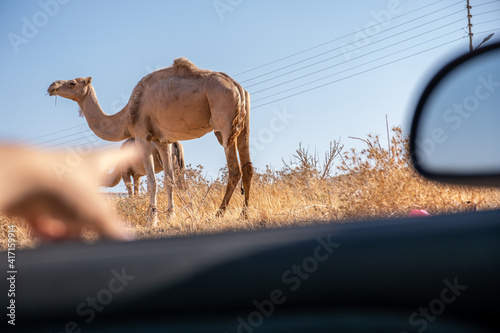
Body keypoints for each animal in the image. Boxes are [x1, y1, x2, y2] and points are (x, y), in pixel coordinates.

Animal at [47, 57, 254, 224]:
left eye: (73, 83)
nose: (52, 86)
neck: (126, 117)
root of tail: (236, 86)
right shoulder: (163, 141)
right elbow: (169, 180)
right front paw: (170, 216)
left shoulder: (142, 137)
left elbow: (152, 182)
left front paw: (152, 219)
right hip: (243, 125)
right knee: (247, 167)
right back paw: (244, 213)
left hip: (223, 122)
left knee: (234, 169)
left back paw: (219, 214)